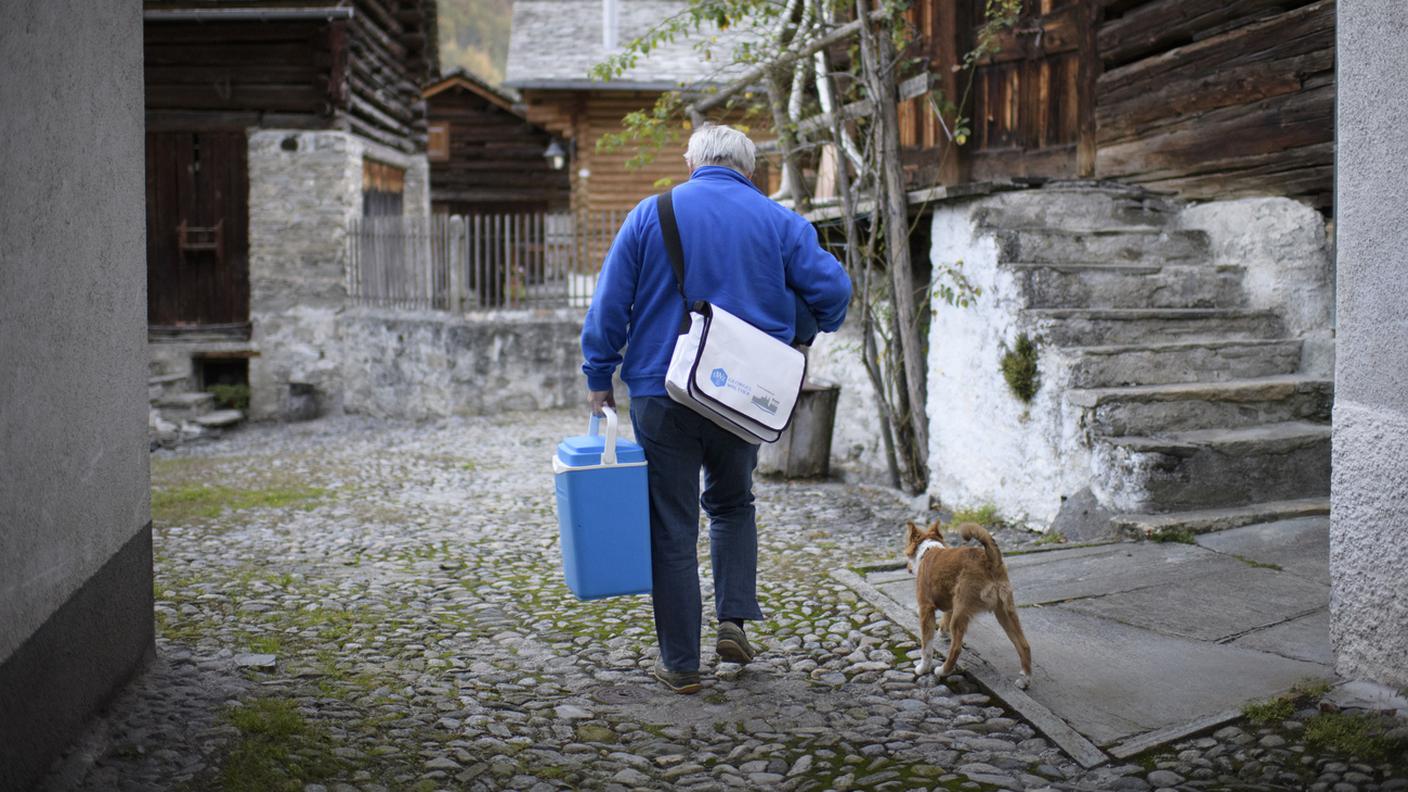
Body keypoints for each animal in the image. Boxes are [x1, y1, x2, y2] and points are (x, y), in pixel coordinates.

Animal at [901, 518, 1036, 684]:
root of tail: (989, 560)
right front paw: (943, 633)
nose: (907, 568)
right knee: (1024, 645)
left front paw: (923, 668)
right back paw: (1025, 680)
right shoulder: (951, 603)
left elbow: (926, 646)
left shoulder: (926, 609)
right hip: (1005, 612)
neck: (928, 549)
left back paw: (943, 671)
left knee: (956, 648)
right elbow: (944, 620)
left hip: (961, 614)